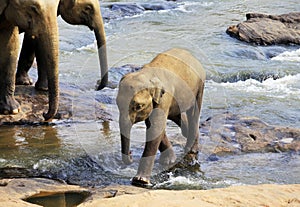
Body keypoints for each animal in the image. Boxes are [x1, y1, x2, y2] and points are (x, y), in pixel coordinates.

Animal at [116, 47, 205, 187]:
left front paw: (140, 181)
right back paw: (185, 133)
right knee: (177, 114)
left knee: (194, 114)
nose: (130, 155)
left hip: (199, 86)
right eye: (117, 103)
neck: (147, 74)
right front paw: (169, 161)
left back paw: (191, 150)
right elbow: (154, 126)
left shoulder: (164, 98)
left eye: (138, 106)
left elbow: (156, 128)